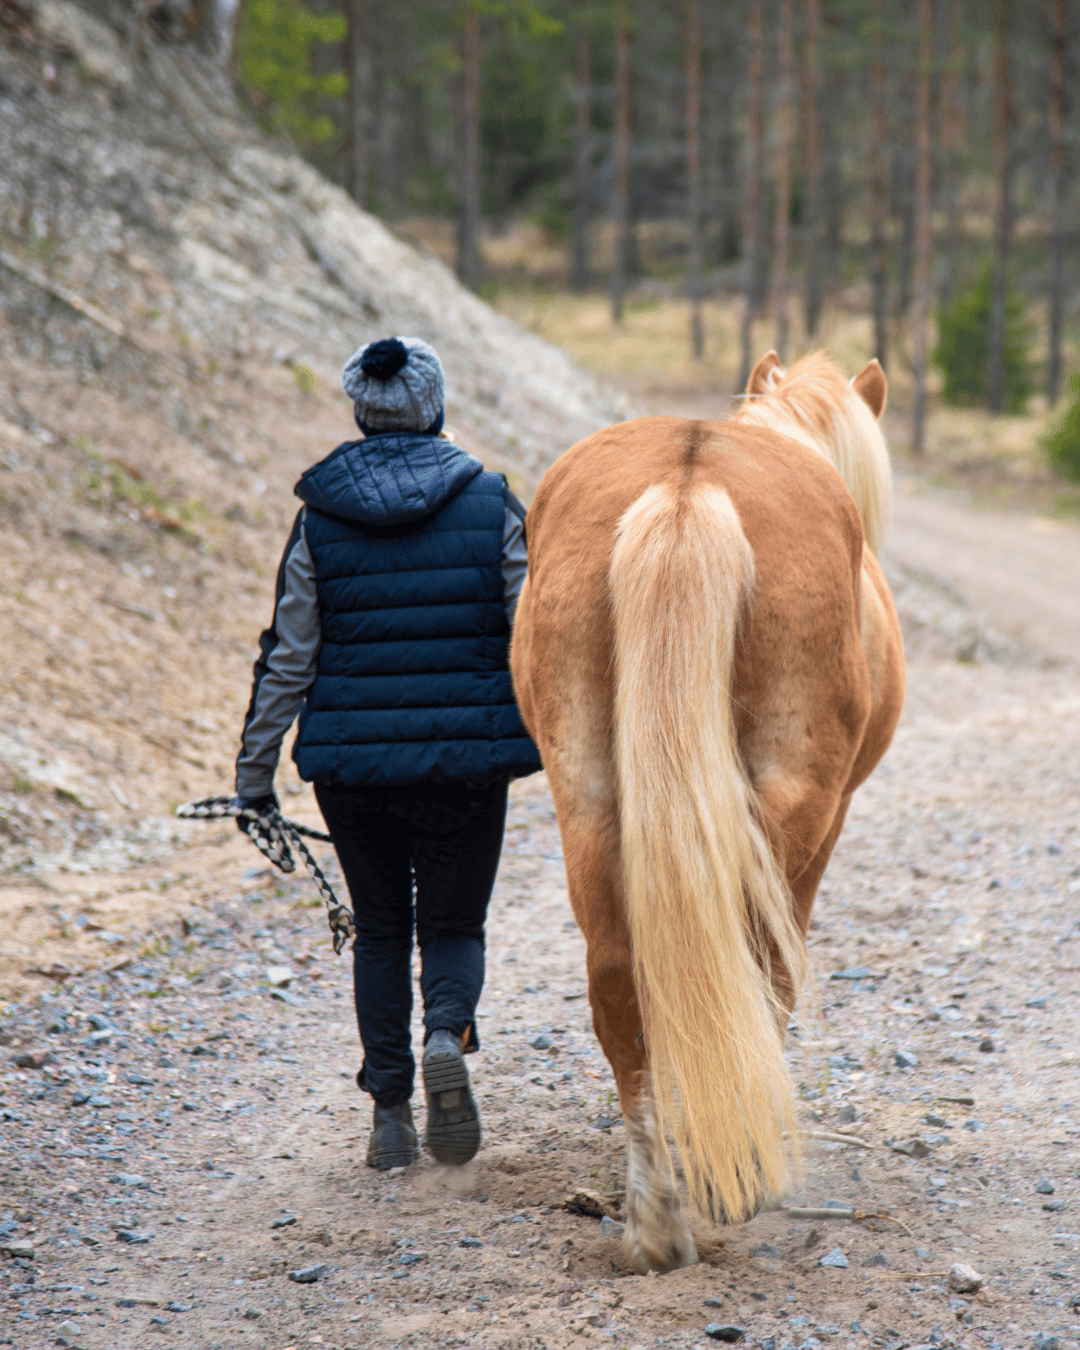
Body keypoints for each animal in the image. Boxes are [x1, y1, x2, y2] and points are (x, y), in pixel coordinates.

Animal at [509, 349, 905, 1274]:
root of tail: (687, 487)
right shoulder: (829, 825)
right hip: (790, 810)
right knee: (758, 967)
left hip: (587, 797)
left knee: (619, 982)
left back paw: (655, 1222)